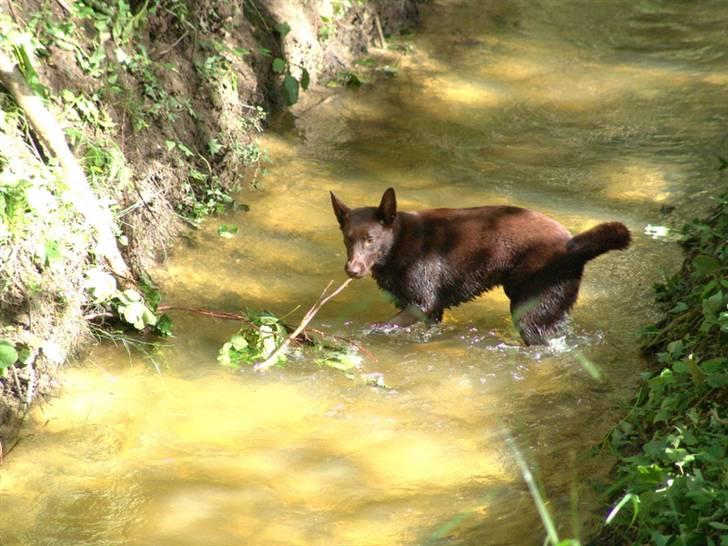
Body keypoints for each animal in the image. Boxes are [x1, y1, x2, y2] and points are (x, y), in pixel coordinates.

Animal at [332, 186, 632, 340]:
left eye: (370, 240)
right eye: (347, 239)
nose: (352, 269)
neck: (398, 243)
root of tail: (571, 244)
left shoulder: (422, 303)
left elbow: (382, 326)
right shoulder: (432, 311)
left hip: (529, 309)